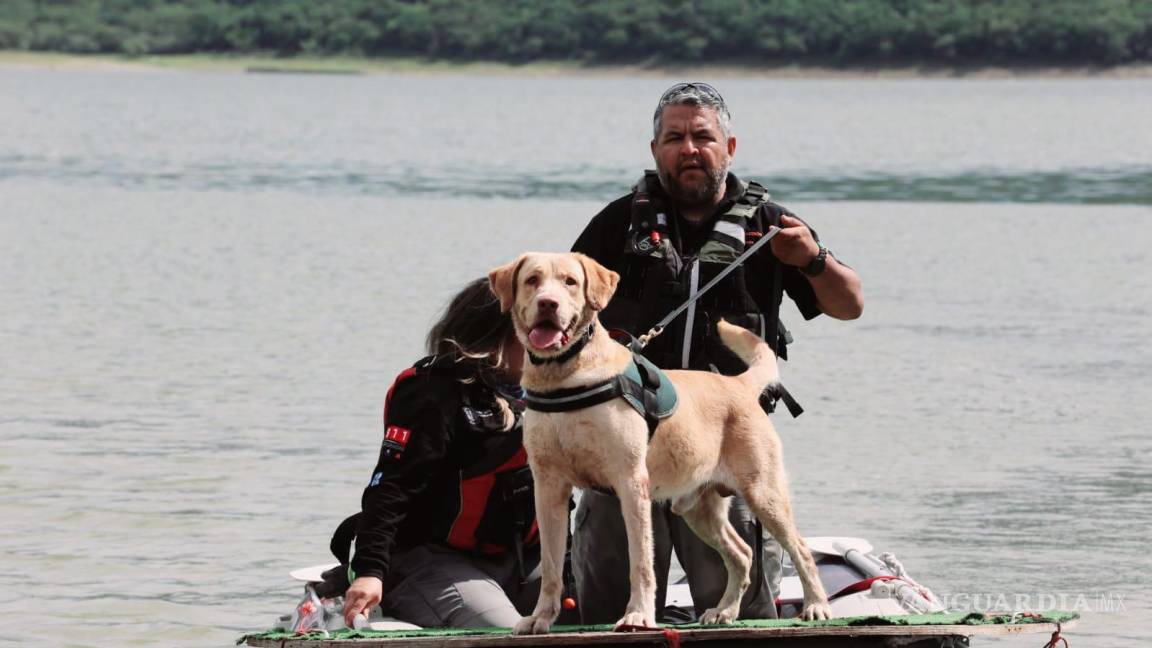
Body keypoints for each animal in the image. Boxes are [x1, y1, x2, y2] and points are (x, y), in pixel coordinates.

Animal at [486, 251, 829, 631]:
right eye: (532, 280)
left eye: (570, 282)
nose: (548, 303)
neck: (565, 376)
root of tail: (738, 384)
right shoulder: (548, 487)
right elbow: (549, 566)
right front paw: (540, 617)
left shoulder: (631, 482)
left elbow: (641, 562)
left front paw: (638, 614)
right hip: (698, 507)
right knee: (742, 553)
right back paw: (723, 611)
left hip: (763, 493)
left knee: (800, 549)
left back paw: (815, 606)